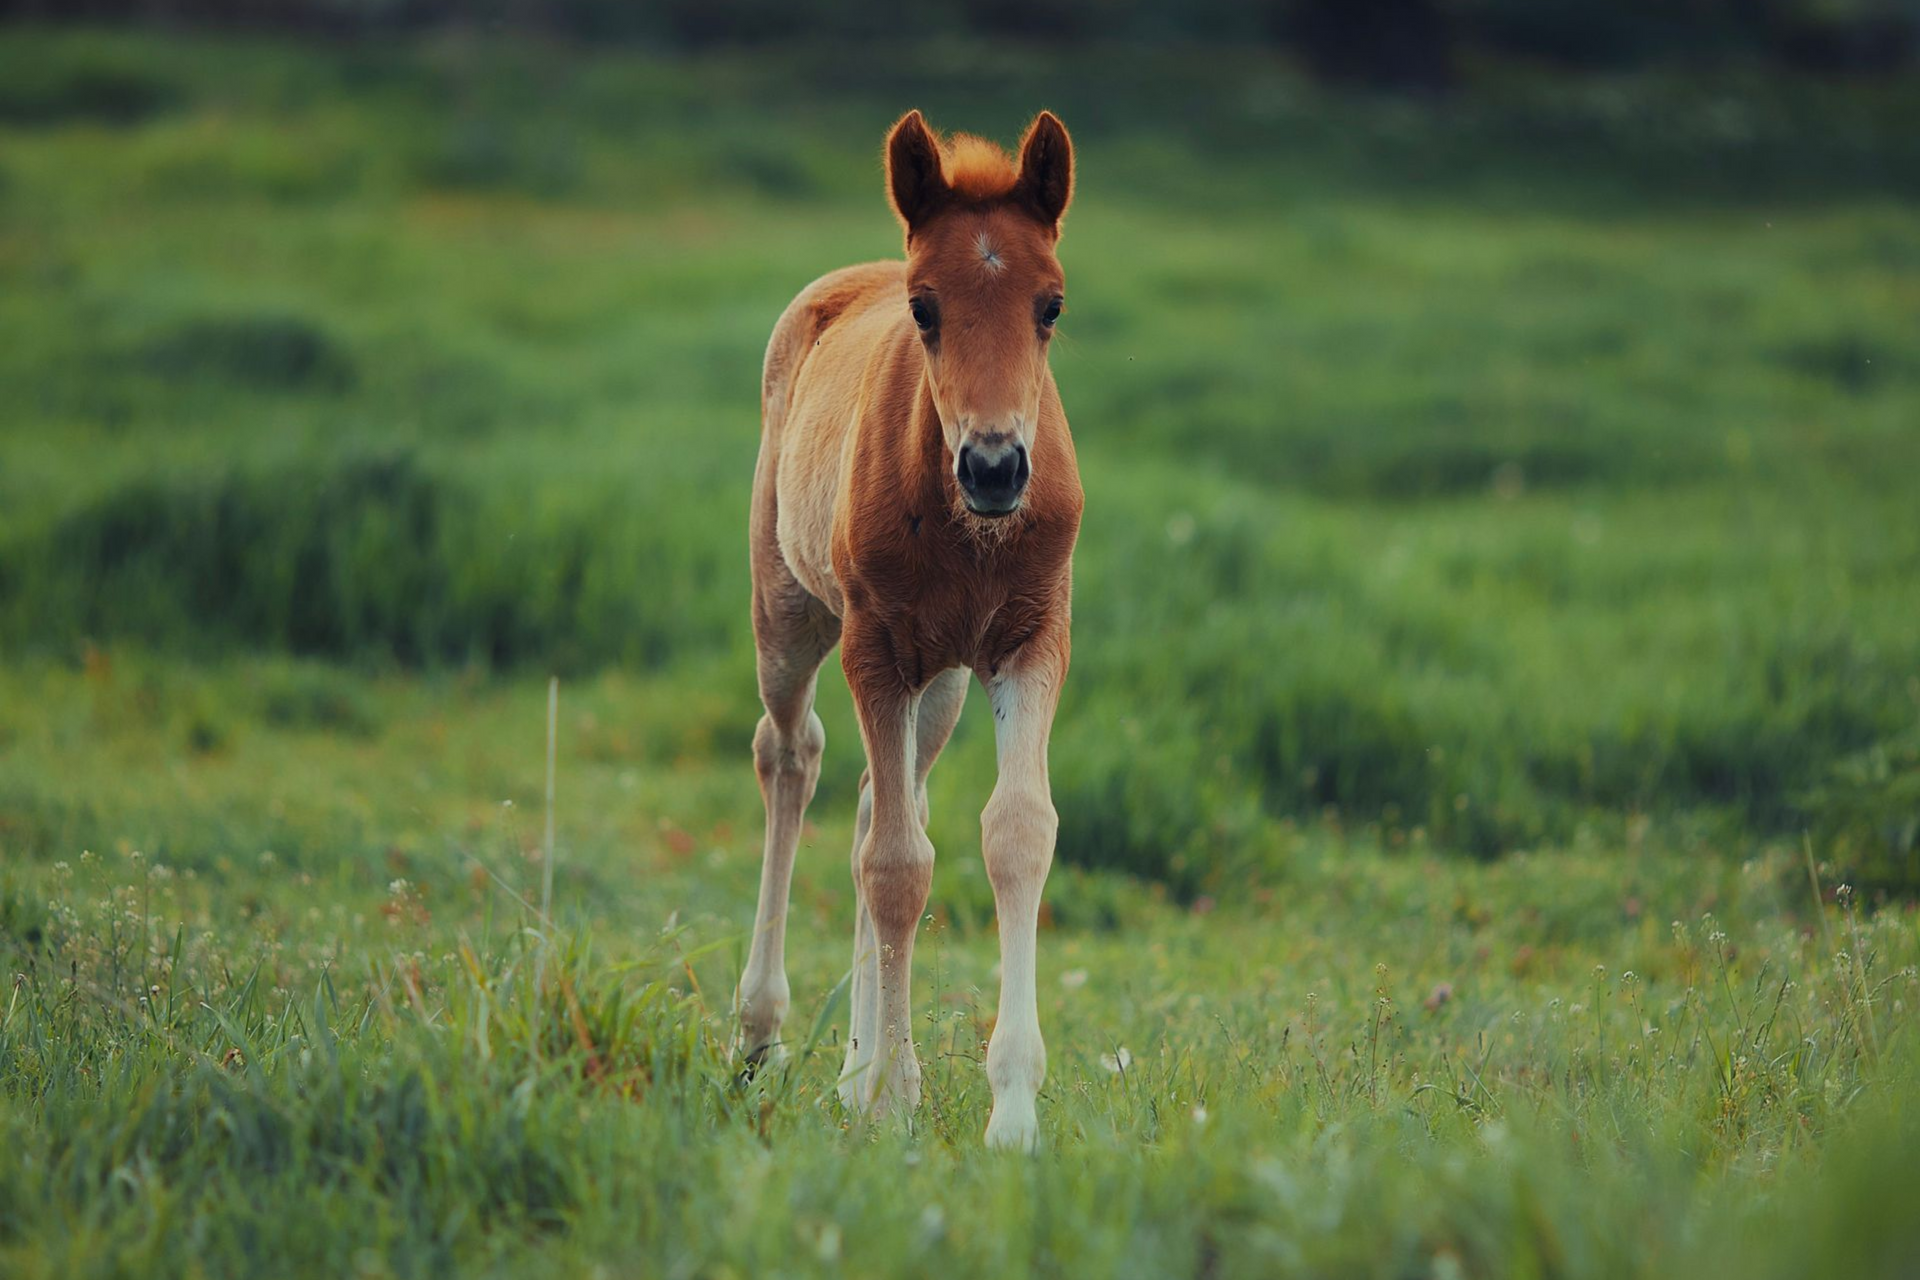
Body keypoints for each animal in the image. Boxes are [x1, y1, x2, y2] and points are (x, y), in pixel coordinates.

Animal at [732, 109, 1082, 1150]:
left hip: (945, 679)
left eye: (1052, 306)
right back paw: (760, 1039)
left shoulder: (1029, 644)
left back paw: (856, 1070)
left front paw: (1010, 1113)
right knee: (791, 756)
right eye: (925, 309)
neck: (969, 529)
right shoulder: (876, 649)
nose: (996, 466)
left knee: (871, 805)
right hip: (792, 613)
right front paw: (890, 1105)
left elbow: (1015, 833)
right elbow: (897, 868)